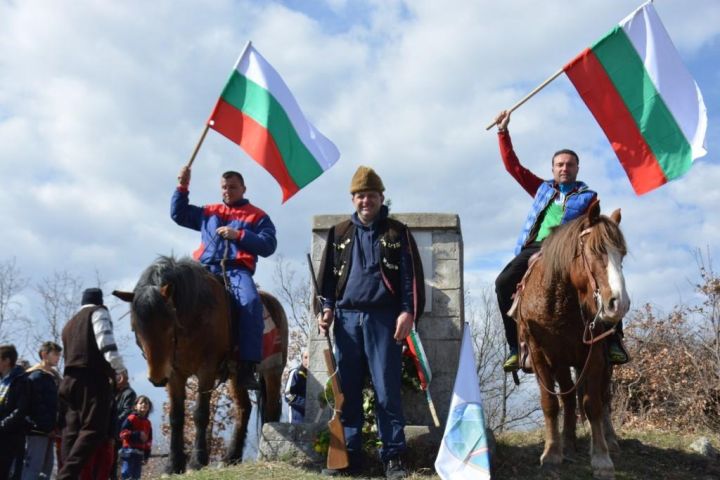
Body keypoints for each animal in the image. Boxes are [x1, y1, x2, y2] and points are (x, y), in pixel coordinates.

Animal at [112, 256, 286, 474]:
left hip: (273, 371)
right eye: (136, 326)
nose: (157, 378)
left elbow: (200, 414)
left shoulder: (206, 371)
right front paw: (173, 464)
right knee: (243, 409)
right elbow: (176, 417)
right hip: (236, 375)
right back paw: (231, 457)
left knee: (271, 409)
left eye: (169, 323)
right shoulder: (174, 374)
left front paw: (196, 462)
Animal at [512, 202, 632, 480]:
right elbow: (550, 403)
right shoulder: (540, 355)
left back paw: (610, 440)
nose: (618, 304)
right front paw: (551, 454)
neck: (559, 305)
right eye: (596, 250)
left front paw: (601, 459)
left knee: (604, 397)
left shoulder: (595, 355)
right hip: (561, 362)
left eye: (622, 254)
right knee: (567, 399)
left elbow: (593, 404)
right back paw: (567, 443)